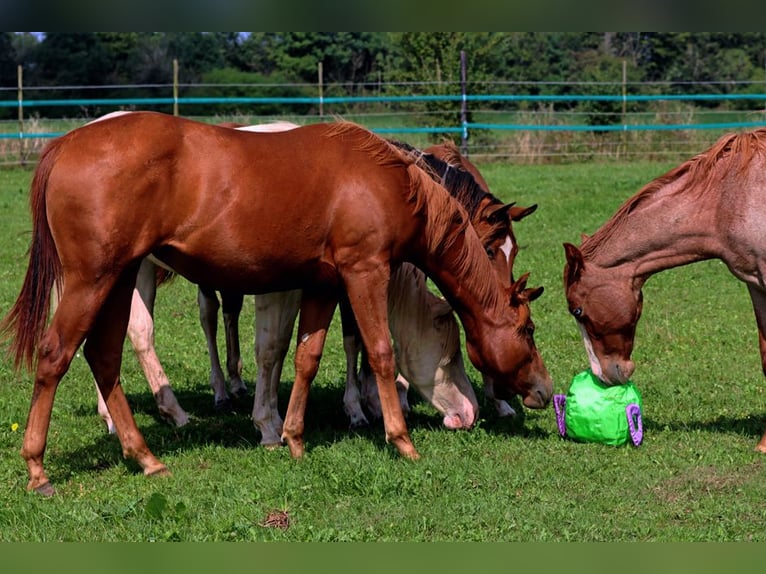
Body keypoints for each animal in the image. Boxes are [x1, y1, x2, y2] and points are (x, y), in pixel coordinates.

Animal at [0, 112, 552, 496]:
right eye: (527, 331)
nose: (543, 392)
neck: (387, 178)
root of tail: (66, 143)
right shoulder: (363, 272)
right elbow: (375, 351)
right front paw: (398, 438)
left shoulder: (324, 284)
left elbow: (308, 356)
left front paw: (293, 437)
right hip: (95, 281)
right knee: (57, 355)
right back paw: (40, 469)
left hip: (116, 281)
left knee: (103, 356)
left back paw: (145, 455)